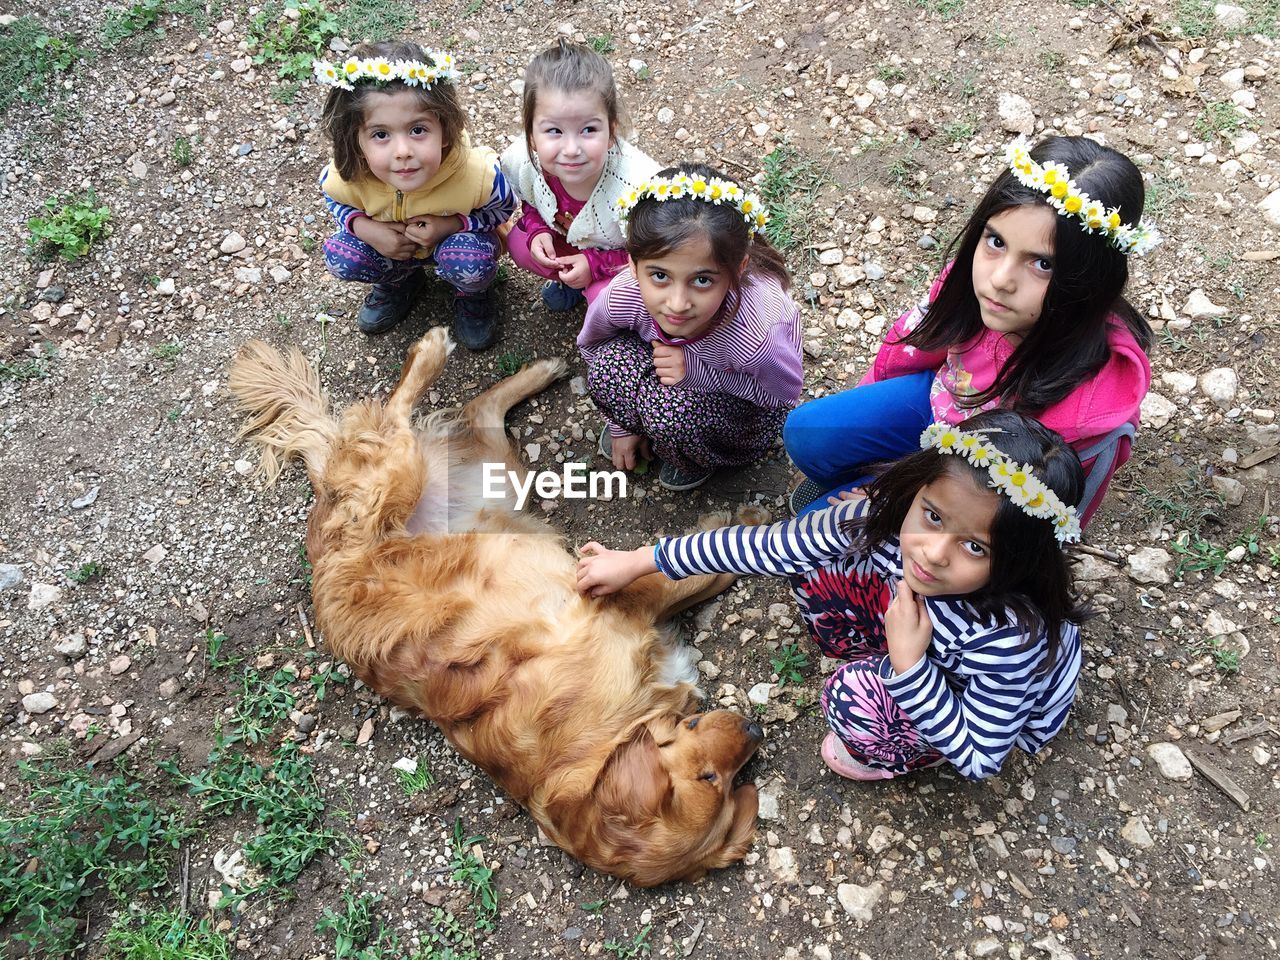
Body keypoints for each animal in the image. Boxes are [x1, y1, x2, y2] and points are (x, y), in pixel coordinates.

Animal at [226, 330, 762, 885]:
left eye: (729, 782)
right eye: (710, 777)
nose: (756, 729)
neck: (600, 748)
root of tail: (319, 536)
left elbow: (705, 574)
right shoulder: (619, 605)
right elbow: (691, 571)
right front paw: (746, 525)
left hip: (499, 476)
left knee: (475, 409)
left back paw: (540, 370)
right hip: (399, 481)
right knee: (397, 412)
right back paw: (432, 351)